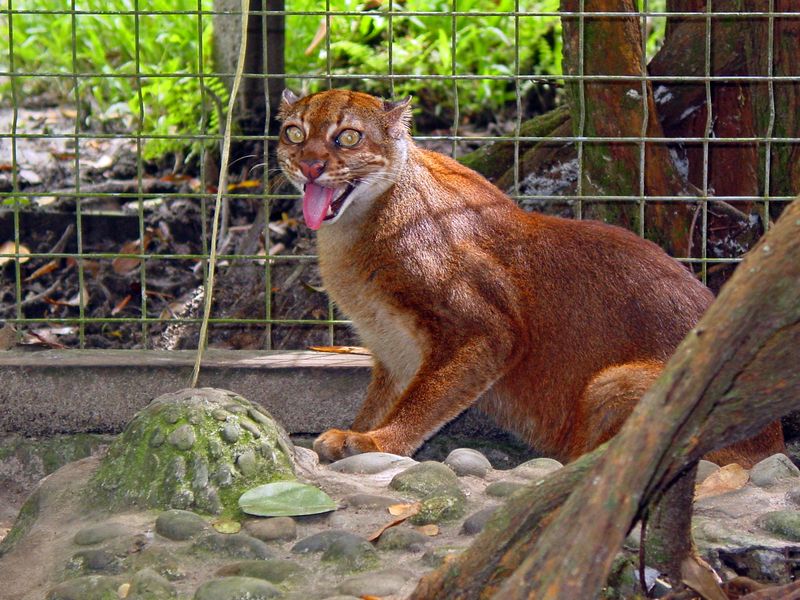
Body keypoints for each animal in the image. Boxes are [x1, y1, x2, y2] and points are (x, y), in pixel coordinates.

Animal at [276, 89, 780, 466]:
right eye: (294, 132)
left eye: (348, 137)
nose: (310, 165)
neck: (352, 233)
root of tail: (774, 439)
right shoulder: (393, 346)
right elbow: (384, 396)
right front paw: (357, 430)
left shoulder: (485, 329)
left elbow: (425, 397)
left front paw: (378, 442)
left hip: (614, 383)